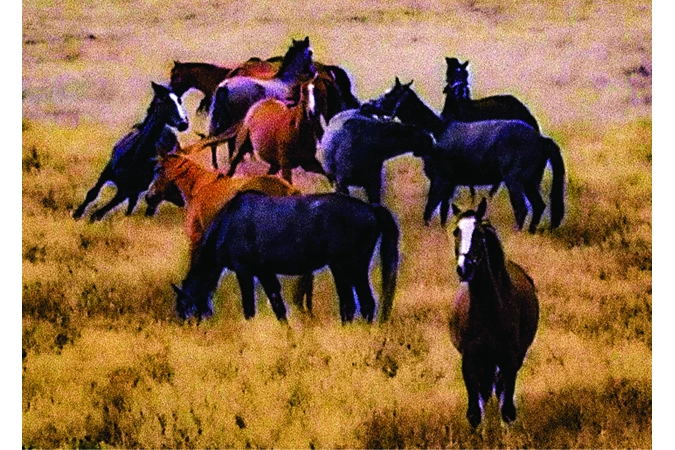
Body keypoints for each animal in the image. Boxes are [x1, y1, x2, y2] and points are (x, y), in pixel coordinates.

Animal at [72, 82, 189, 222]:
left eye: (179, 101)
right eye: (165, 101)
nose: (184, 123)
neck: (135, 157)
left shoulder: (127, 190)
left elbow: (101, 211)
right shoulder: (107, 172)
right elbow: (92, 194)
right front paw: (77, 214)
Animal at [172, 191, 399, 323]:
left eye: (185, 308)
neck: (228, 222)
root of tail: (371, 208)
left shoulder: (244, 271)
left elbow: (249, 307)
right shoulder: (264, 272)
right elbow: (278, 306)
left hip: (342, 267)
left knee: (349, 306)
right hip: (358, 268)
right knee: (367, 304)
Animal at [364, 78, 565, 232]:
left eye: (390, 95)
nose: (367, 106)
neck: (437, 132)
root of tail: (540, 139)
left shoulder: (440, 181)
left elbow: (429, 209)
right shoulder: (450, 184)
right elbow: (443, 210)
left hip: (515, 181)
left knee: (522, 209)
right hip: (530, 182)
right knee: (538, 206)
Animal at [448, 199, 539, 428]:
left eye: (479, 233)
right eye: (455, 231)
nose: (464, 268)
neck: (486, 309)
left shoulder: (509, 359)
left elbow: (507, 409)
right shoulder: (469, 360)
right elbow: (474, 411)